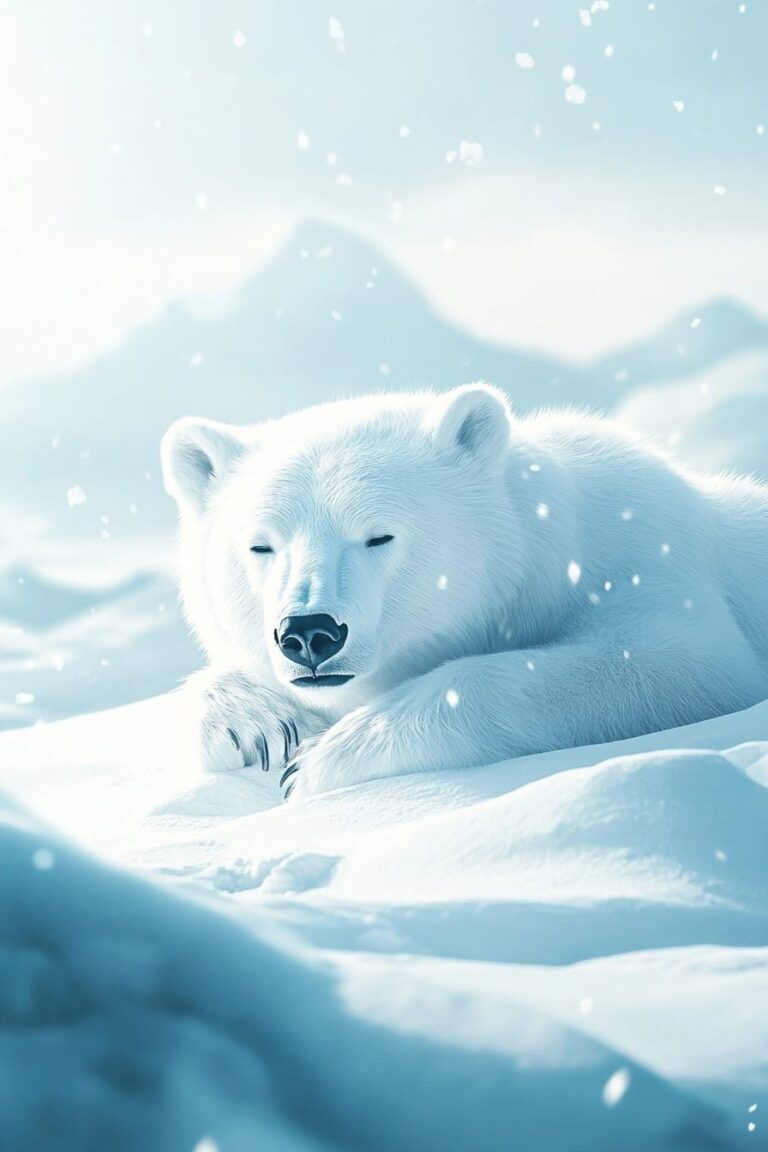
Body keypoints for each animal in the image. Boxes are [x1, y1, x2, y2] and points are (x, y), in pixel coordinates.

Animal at [161, 383, 768, 800]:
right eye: (261, 546)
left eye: (379, 535)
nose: (310, 633)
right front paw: (258, 724)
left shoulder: (647, 560)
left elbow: (677, 661)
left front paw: (319, 759)